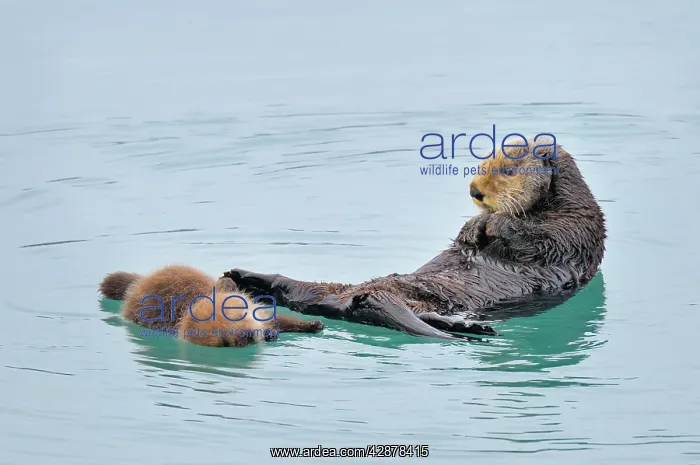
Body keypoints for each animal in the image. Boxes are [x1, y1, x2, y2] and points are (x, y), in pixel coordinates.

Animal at [99, 265, 324, 347]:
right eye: (223, 338)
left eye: (238, 317)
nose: (247, 335)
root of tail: (138, 284)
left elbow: (280, 318)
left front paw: (313, 324)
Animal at [222, 136, 606, 340]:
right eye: (482, 165)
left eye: (508, 170)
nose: (474, 191)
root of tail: (341, 302)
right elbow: (469, 239)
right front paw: (473, 227)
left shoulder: (575, 229)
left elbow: (541, 241)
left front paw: (495, 223)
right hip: (339, 291)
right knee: (298, 291)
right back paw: (244, 275)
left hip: (416, 300)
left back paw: (471, 327)